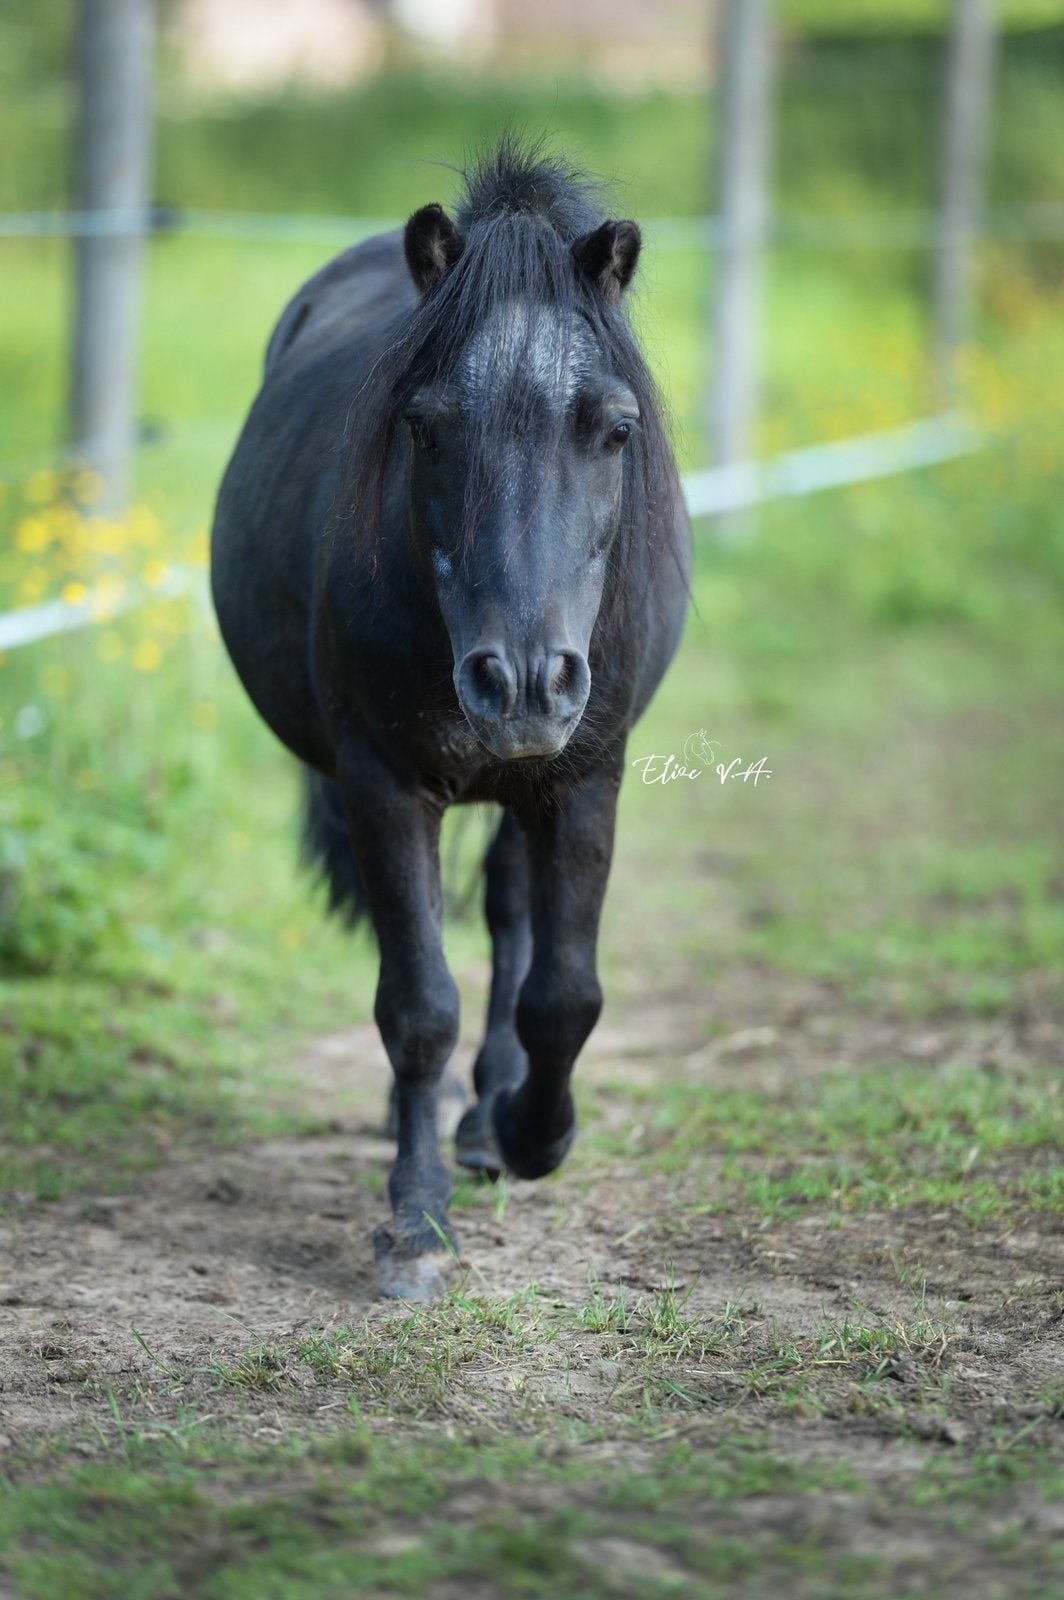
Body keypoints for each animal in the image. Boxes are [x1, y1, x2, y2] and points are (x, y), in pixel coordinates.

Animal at [210, 140, 692, 1298]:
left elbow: (564, 994)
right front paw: (416, 1218)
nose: (519, 683)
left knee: (513, 920)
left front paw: (530, 1133)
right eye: (423, 426)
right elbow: (417, 1006)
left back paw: (487, 1117)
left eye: (614, 428)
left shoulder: (586, 776)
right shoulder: (383, 782)